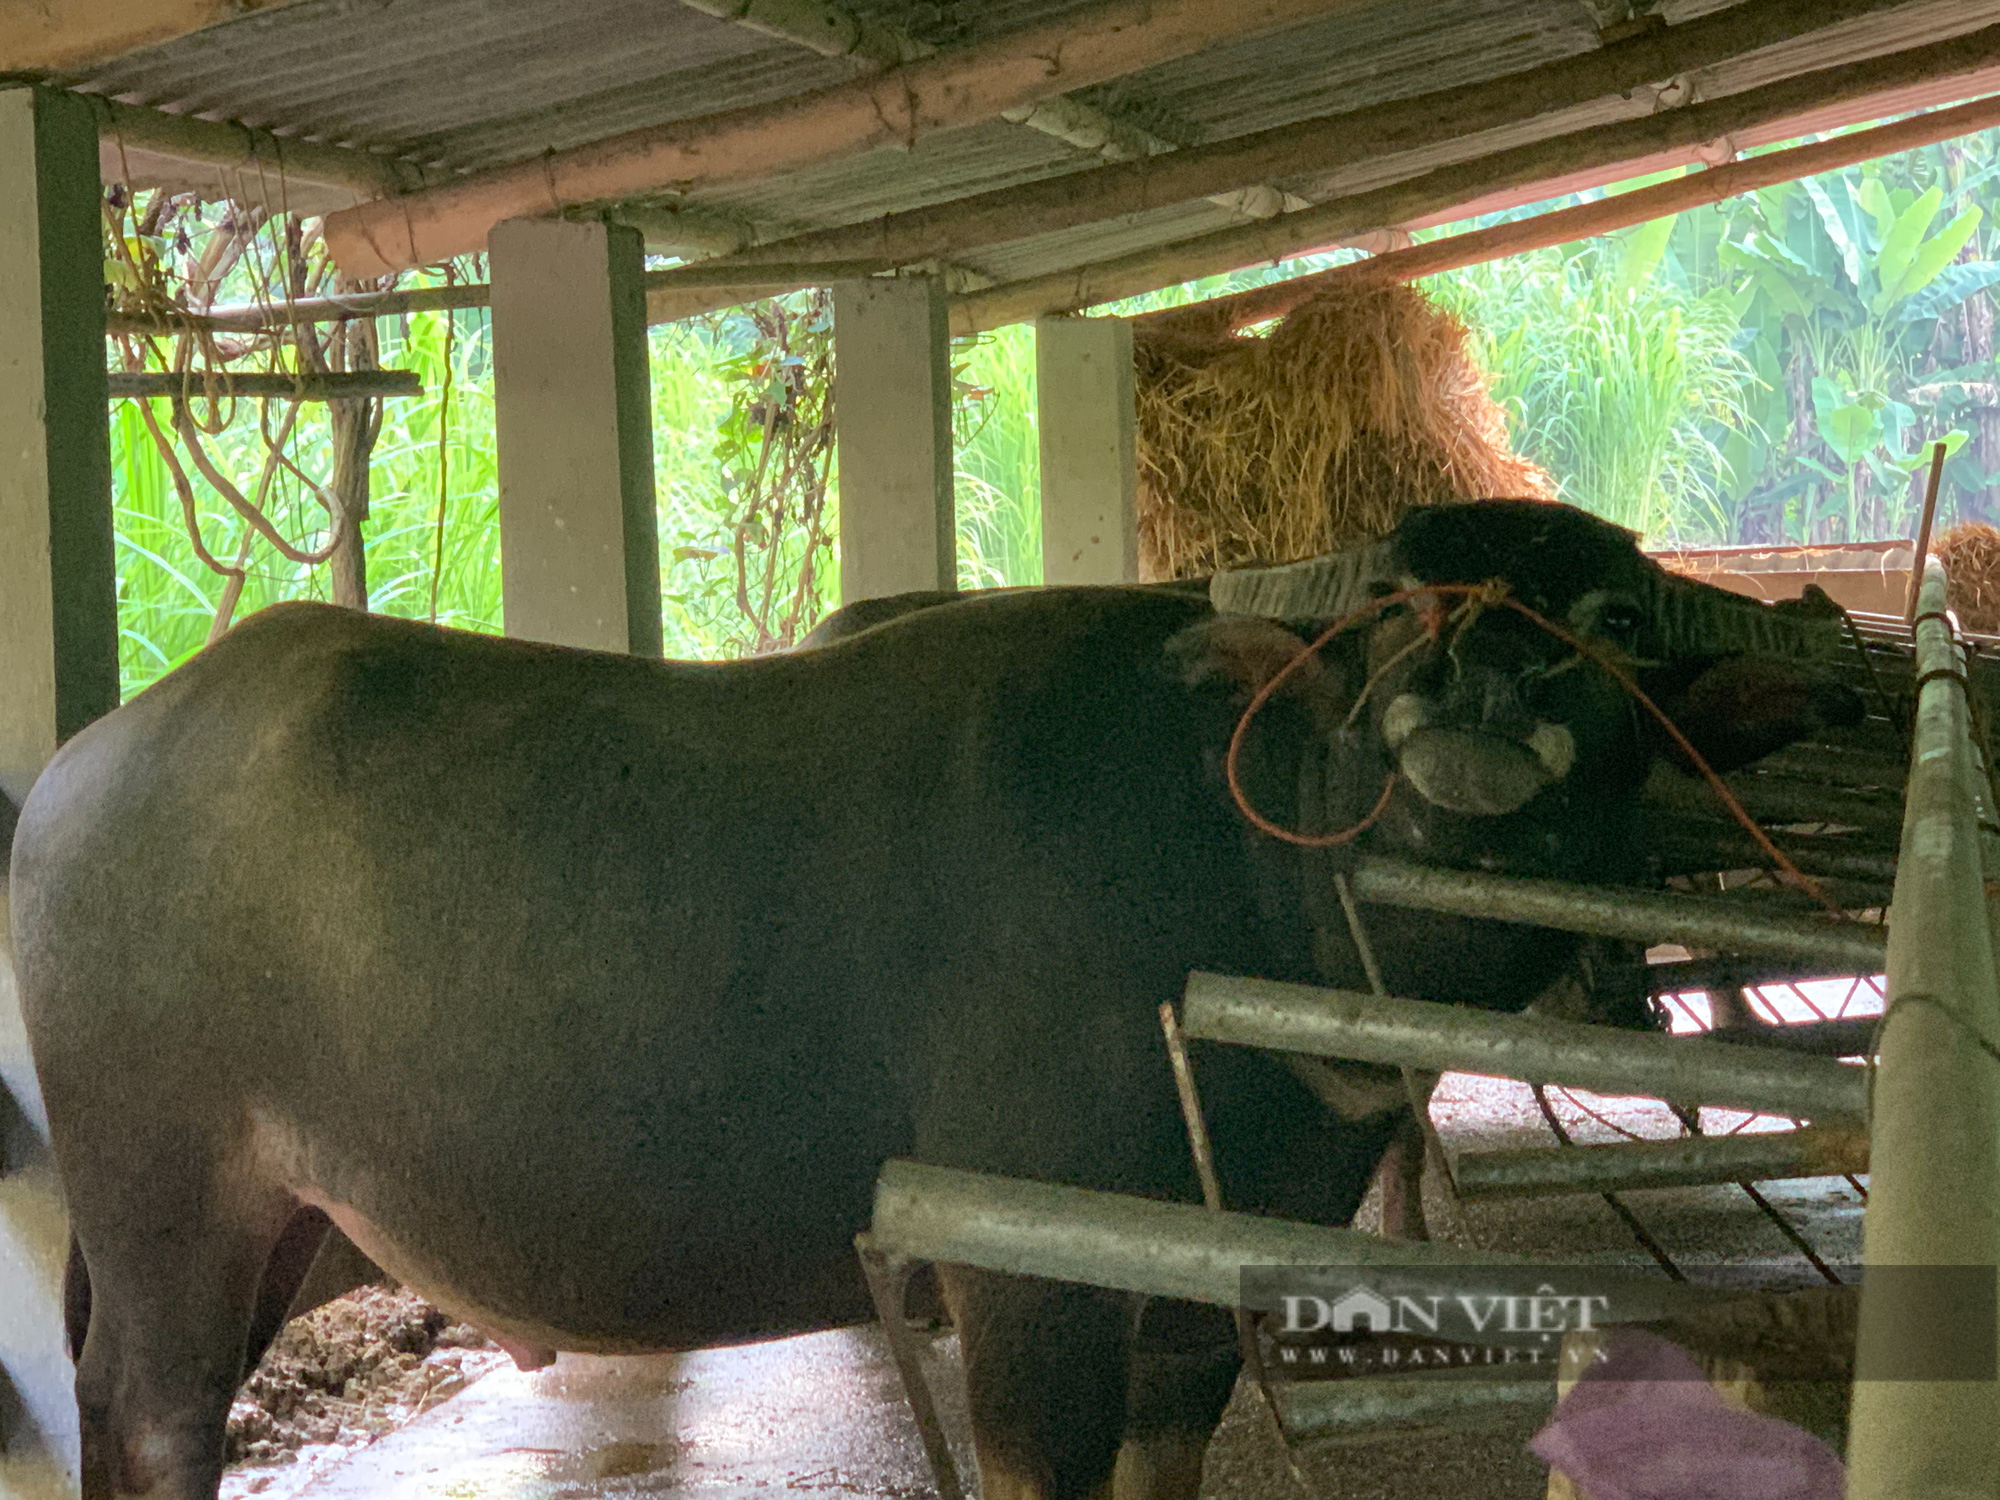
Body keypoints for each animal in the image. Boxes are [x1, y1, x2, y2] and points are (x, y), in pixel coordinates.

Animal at [11, 500, 1856, 1496]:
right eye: (1402, 602)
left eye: (1607, 618)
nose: (1480, 677)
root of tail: (84, 774)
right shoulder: (1022, 1285)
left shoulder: (1197, 1300)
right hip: (166, 1215)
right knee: (157, 1421)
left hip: (278, 1230)